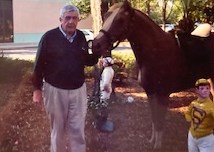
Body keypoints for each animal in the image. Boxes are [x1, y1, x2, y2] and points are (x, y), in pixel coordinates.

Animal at [91, 0, 214, 150]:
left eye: (120, 20)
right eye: (105, 17)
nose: (95, 44)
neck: (157, 51)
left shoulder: (163, 95)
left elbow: (159, 120)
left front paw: (158, 146)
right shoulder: (151, 93)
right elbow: (154, 119)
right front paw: (152, 141)